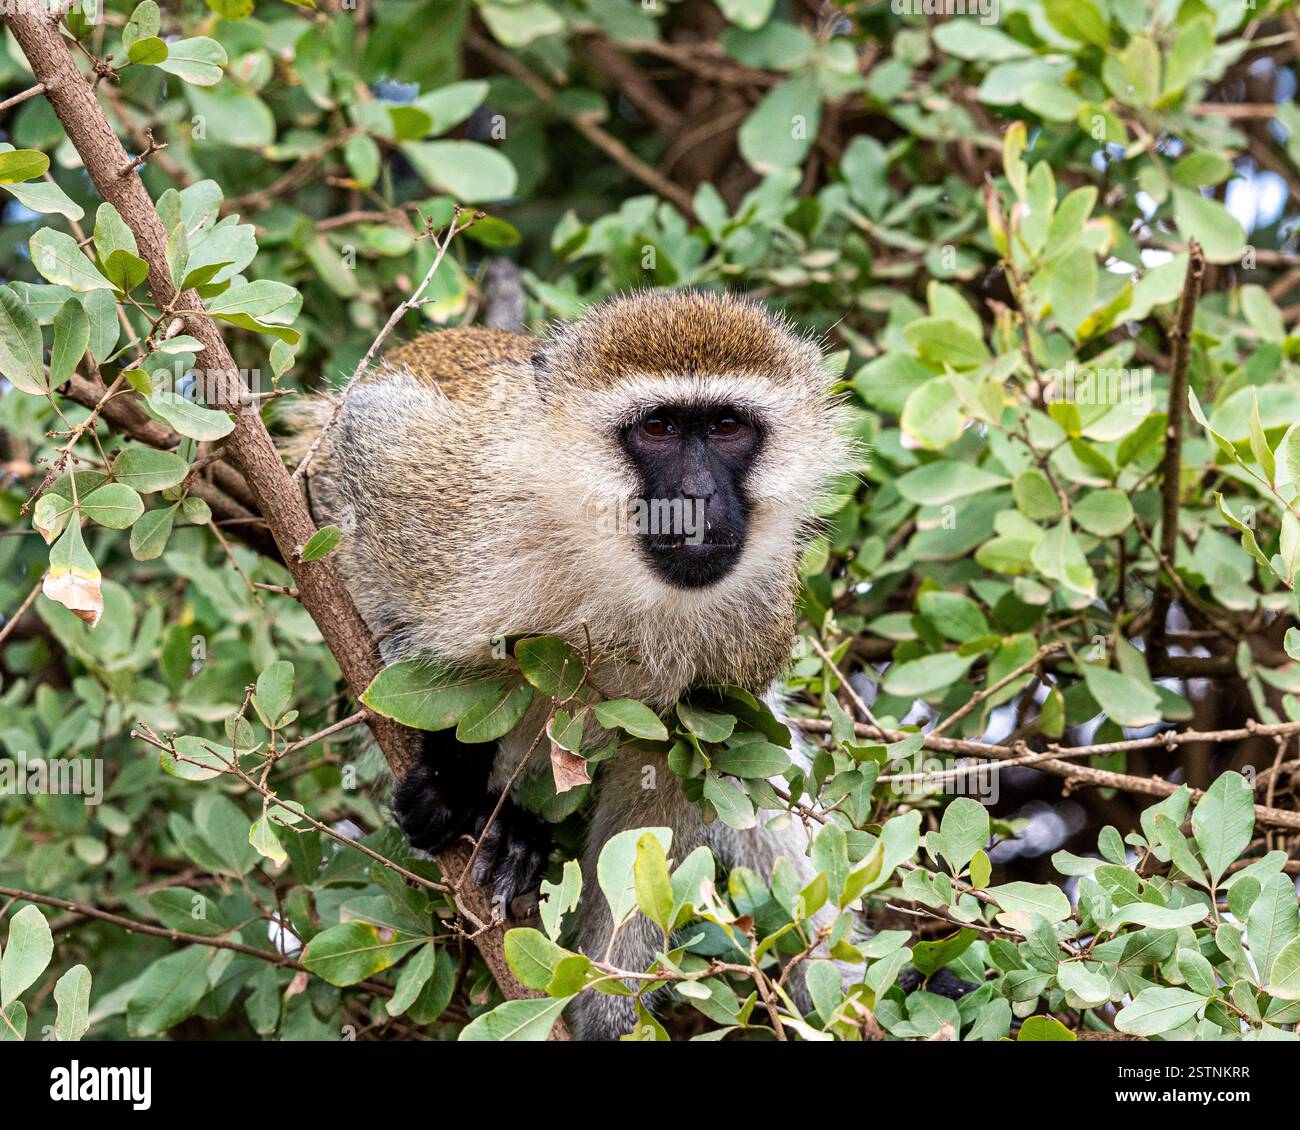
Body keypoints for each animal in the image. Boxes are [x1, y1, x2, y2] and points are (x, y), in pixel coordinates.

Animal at [284, 290, 853, 1039]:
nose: (697, 497)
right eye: (658, 427)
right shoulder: (452, 499)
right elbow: (369, 441)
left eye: (728, 426)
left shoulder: (752, 626)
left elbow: (666, 793)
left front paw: (605, 1011)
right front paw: (449, 780)